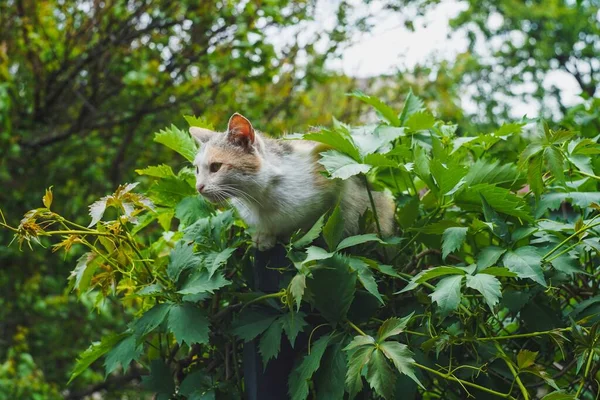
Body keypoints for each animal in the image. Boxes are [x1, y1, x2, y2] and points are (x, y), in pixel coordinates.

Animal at [189, 112, 394, 250]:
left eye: (216, 167)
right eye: (197, 170)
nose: (199, 187)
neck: (260, 198)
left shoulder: (330, 184)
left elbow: (315, 221)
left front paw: (292, 237)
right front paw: (263, 237)